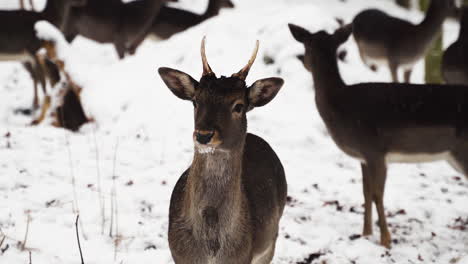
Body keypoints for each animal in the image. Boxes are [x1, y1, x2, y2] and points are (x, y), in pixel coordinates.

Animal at [159, 37, 288, 264]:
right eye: (195, 101)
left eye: (239, 106)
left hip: (271, 241)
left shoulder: (245, 257)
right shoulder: (179, 256)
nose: (203, 135)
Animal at [290, 23, 468, 249]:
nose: (303, 61)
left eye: (305, 46)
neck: (341, 106)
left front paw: (386, 240)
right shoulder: (363, 157)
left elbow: (377, 194)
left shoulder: (375, 151)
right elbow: (365, 193)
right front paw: (366, 233)